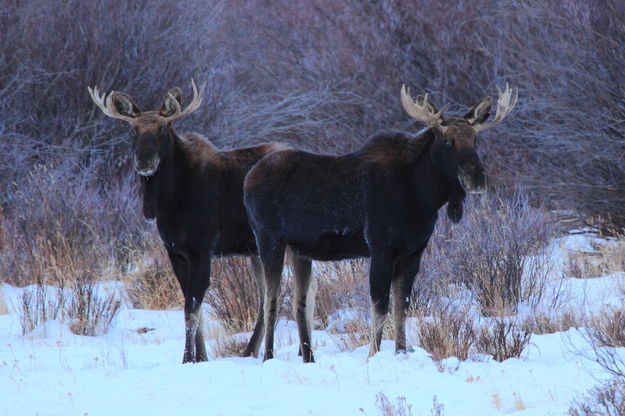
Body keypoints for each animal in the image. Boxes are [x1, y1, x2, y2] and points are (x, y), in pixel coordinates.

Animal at [86, 81, 302, 364]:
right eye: (133, 129)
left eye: (164, 128)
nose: (144, 160)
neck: (170, 203)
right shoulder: (176, 252)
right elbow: (191, 306)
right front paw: (201, 357)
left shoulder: (202, 249)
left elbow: (191, 307)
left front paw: (188, 358)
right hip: (257, 250)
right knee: (266, 297)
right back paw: (250, 351)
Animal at [244, 83, 516, 360]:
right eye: (448, 140)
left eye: (475, 139)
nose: (477, 178)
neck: (423, 197)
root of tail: (249, 178)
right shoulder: (381, 248)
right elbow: (380, 307)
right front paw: (373, 355)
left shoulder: (413, 252)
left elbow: (402, 307)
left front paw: (401, 351)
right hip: (268, 240)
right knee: (270, 299)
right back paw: (268, 356)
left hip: (299, 250)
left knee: (299, 300)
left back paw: (308, 358)